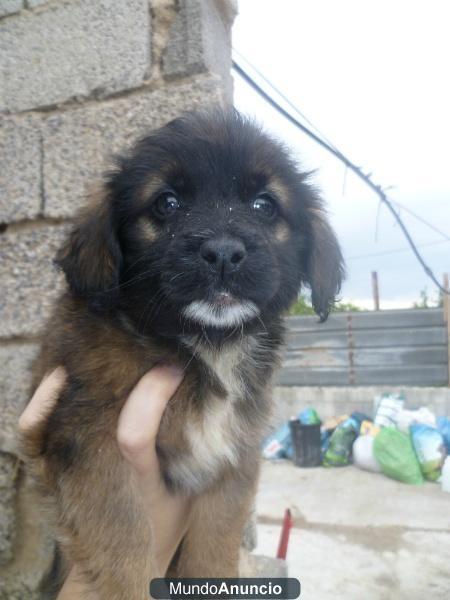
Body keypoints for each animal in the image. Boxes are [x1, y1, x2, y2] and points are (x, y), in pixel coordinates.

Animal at [22, 109, 344, 600]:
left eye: (265, 205)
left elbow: (215, 545)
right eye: (167, 203)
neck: (204, 345)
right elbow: (124, 541)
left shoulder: (232, 456)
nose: (224, 252)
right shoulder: (86, 442)